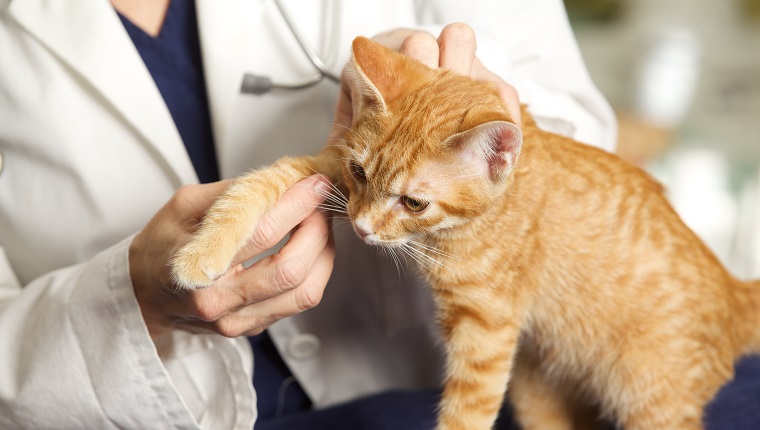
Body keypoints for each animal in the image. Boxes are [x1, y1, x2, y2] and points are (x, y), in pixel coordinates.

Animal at [171, 37, 760, 430]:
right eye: (361, 173)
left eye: (414, 202)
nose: (360, 227)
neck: (460, 229)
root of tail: (734, 290)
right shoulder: (326, 168)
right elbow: (255, 185)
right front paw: (199, 255)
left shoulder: (487, 333)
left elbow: (466, 413)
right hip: (536, 388)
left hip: (649, 397)